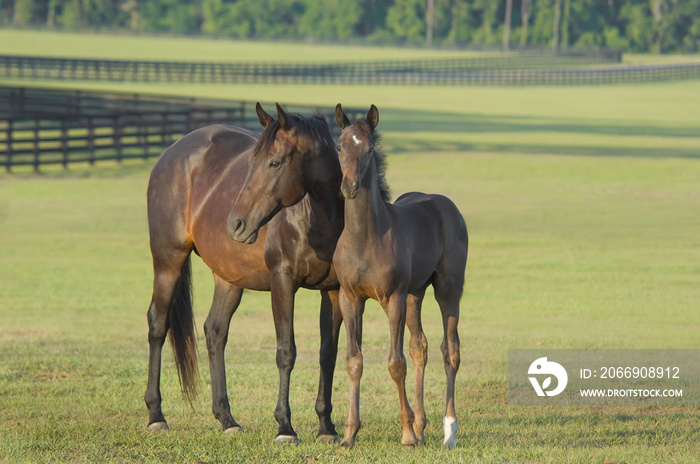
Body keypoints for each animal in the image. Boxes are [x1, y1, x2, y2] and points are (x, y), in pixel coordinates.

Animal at [146, 103, 344, 444]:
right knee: (158, 325)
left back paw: (226, 419)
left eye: (275, 162)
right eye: (251, 163)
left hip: (228, 278)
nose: (235, 224)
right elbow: (286, 351)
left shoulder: (331, 290)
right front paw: (285, 426)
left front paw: (326, 427)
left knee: (215, 332)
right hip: (168, 262)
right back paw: (156, 415)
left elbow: (327, 354)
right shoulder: (283, 282)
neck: (315, 216)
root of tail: (171, 153)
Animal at [332, 105, 468, 450]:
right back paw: (421, 426)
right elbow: (354, 360)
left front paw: (406, 433)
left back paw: (448, 431)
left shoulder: (392, 297)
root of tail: (446, 204)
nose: (349, 187)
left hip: (447, 289)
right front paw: (349, 434)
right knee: (420, 346)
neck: (365, 239)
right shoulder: (350, 298)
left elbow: (395, 363)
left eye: (369, 149)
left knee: (450, 350)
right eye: (339, 146)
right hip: (414, 294)